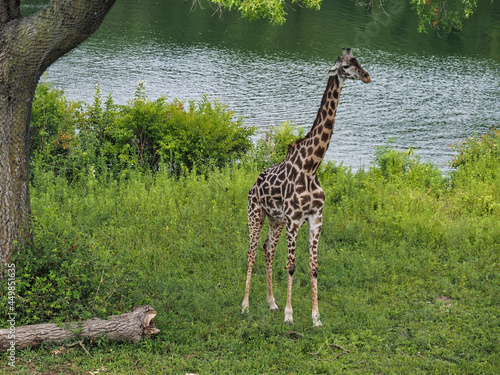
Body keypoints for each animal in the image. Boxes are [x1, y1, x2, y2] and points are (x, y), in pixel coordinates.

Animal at [242, 49, 372, 326]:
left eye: (358, 61)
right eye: (346, 66)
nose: (367, 76)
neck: (312, 165)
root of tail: (252, 185)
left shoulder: (315, 218)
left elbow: (314, 267)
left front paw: (316, 318)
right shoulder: (294, 219)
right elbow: (291, 266)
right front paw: (290, 316)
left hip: (275, 220)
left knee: (267, 249)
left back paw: (271, 303)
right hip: (255, 214)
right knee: (251, 252)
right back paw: (245, 305)